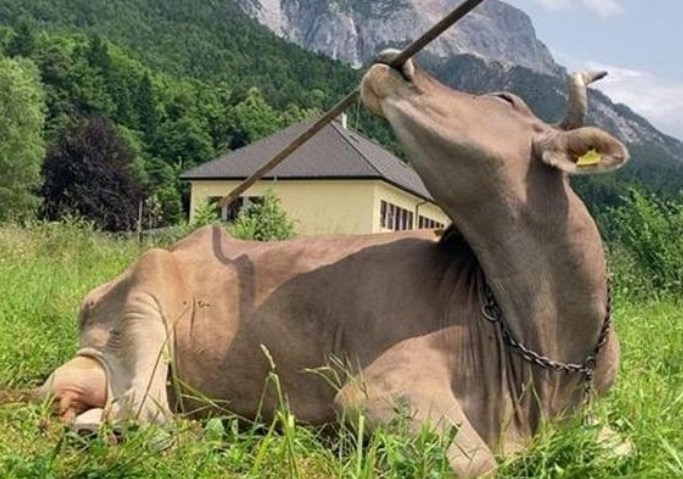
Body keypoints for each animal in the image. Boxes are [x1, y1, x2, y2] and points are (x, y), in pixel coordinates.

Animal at [38, 50, 628, 477]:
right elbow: (480, 462)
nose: (396, 61)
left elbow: (619, 447)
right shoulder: (379, 389)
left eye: (504, 98)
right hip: (144, 301)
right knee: (145, 415)